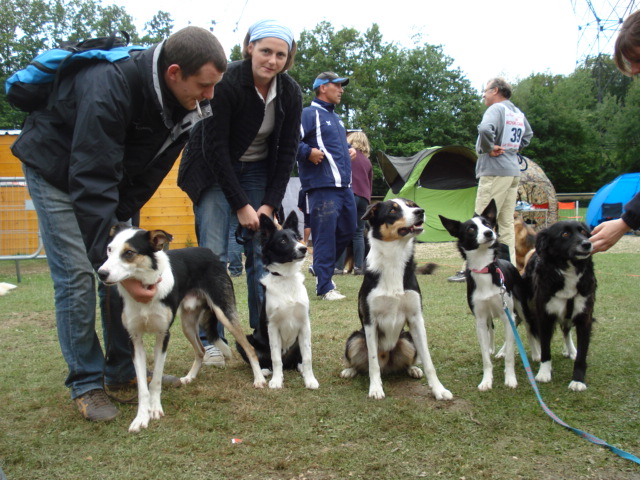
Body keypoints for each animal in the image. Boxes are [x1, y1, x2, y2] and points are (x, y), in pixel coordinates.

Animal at [342, 199, 452, 402]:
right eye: (393, 210)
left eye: (412, 205)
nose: (420, 211)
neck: (394, 259)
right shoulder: (370, 321)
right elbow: (373, 363)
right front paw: (375, 388)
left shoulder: (416, 318)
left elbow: (428, 360)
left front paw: (438, 389)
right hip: (355, 338)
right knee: (363, 363)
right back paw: (350, 371)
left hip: (407, 340)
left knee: (409, 361)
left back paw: (414, 369)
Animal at [524, 220, 596, 390]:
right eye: (565, 234)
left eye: (584, 232)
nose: (587, 244)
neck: (568, 269)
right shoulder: (544, 316)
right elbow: (545, 348)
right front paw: (544, 372)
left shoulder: (584, 318)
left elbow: (582, 354)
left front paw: (578, 380)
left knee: (566, 331)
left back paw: (571, 350)